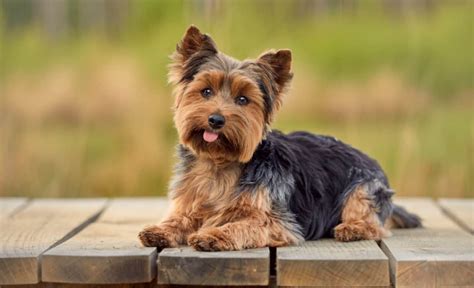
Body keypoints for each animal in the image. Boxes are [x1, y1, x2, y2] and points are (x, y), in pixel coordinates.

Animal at [138, 25, 422, 251]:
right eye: (206, 91)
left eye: (243, 99)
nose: (216, 120)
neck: (220, 163)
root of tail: (372, 160)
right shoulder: (190, 201)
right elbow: (181, 218)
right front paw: (160, 230)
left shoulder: (279, 222)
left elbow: (244, 224)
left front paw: (214, 234)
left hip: (364, 188)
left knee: (373, 222)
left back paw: (351, 228)